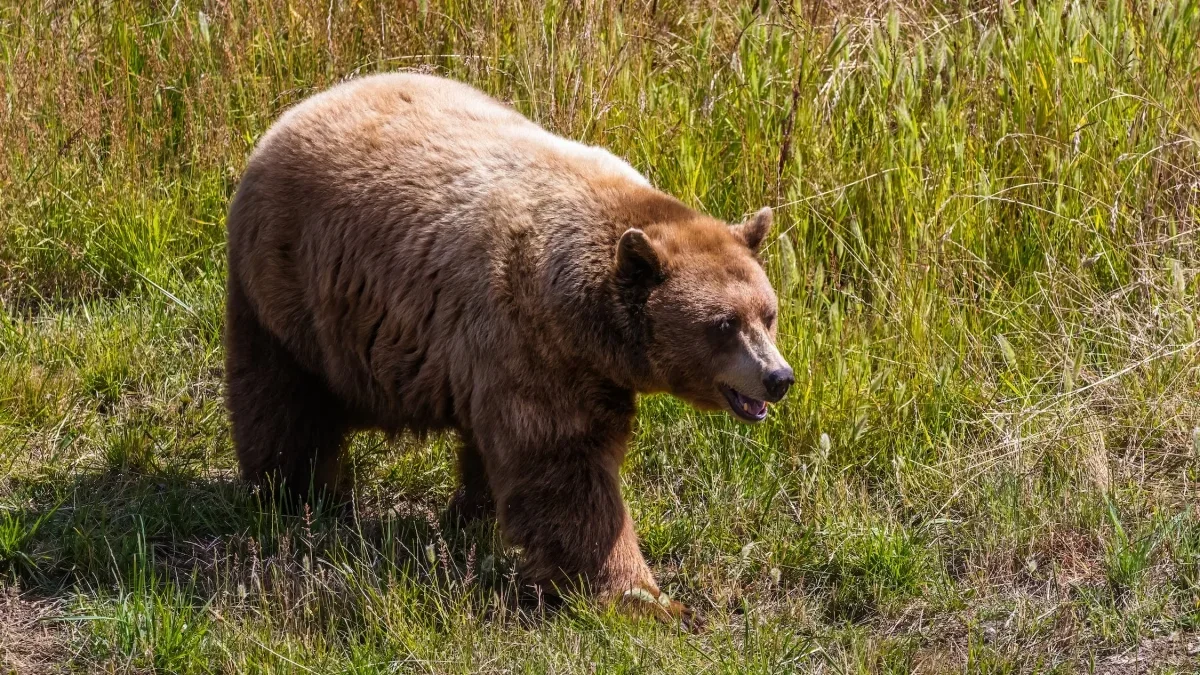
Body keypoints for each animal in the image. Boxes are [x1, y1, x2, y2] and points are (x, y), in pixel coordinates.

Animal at [223, 72, 796, 619]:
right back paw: (291, 494)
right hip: (290, 292)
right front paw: (648, 600)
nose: (779, 377)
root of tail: (300, 109)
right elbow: (566, 470)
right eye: (723, 324)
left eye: (767, 314)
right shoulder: (534, 340)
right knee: (282, 399)